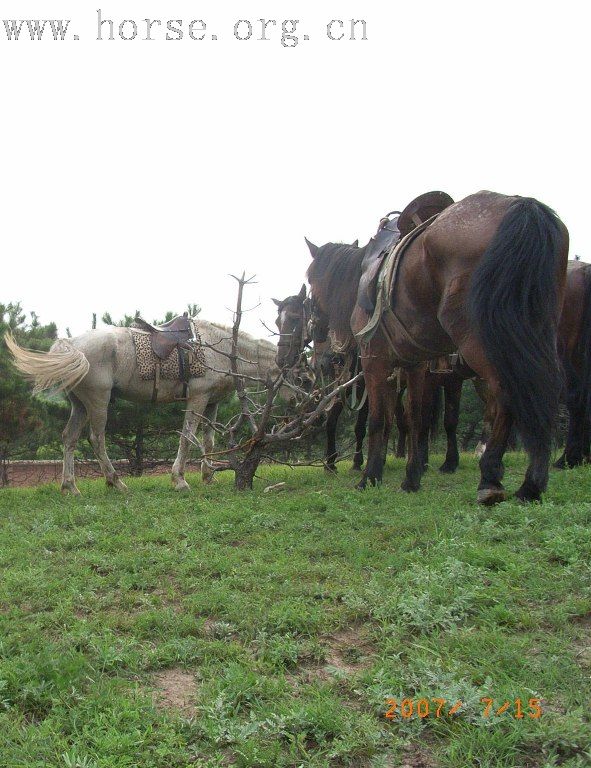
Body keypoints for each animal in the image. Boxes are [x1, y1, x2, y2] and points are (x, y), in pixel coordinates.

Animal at [6, 320, 280, 496]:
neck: (218, 348)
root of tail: (72, 344)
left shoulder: (212, 402)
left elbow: (208, 441)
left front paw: (208, 476)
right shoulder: (197, 399)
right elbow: (187, 438)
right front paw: (179, 480)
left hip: (80, 405)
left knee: (69, 438)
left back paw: (70, 487)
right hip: (98, 401)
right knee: (96, 439)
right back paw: (116, 483)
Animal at [308, 191, 572, 504]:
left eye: (310, 285)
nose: (322, 355)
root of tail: (522, 206)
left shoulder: (376, 360)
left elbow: (378, 420)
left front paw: (370, 477)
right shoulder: (414, 364)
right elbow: (415, 419)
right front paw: (411, 478)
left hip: (481, 340)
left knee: (508, 390)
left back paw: (492, 478)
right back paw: (530, 483)